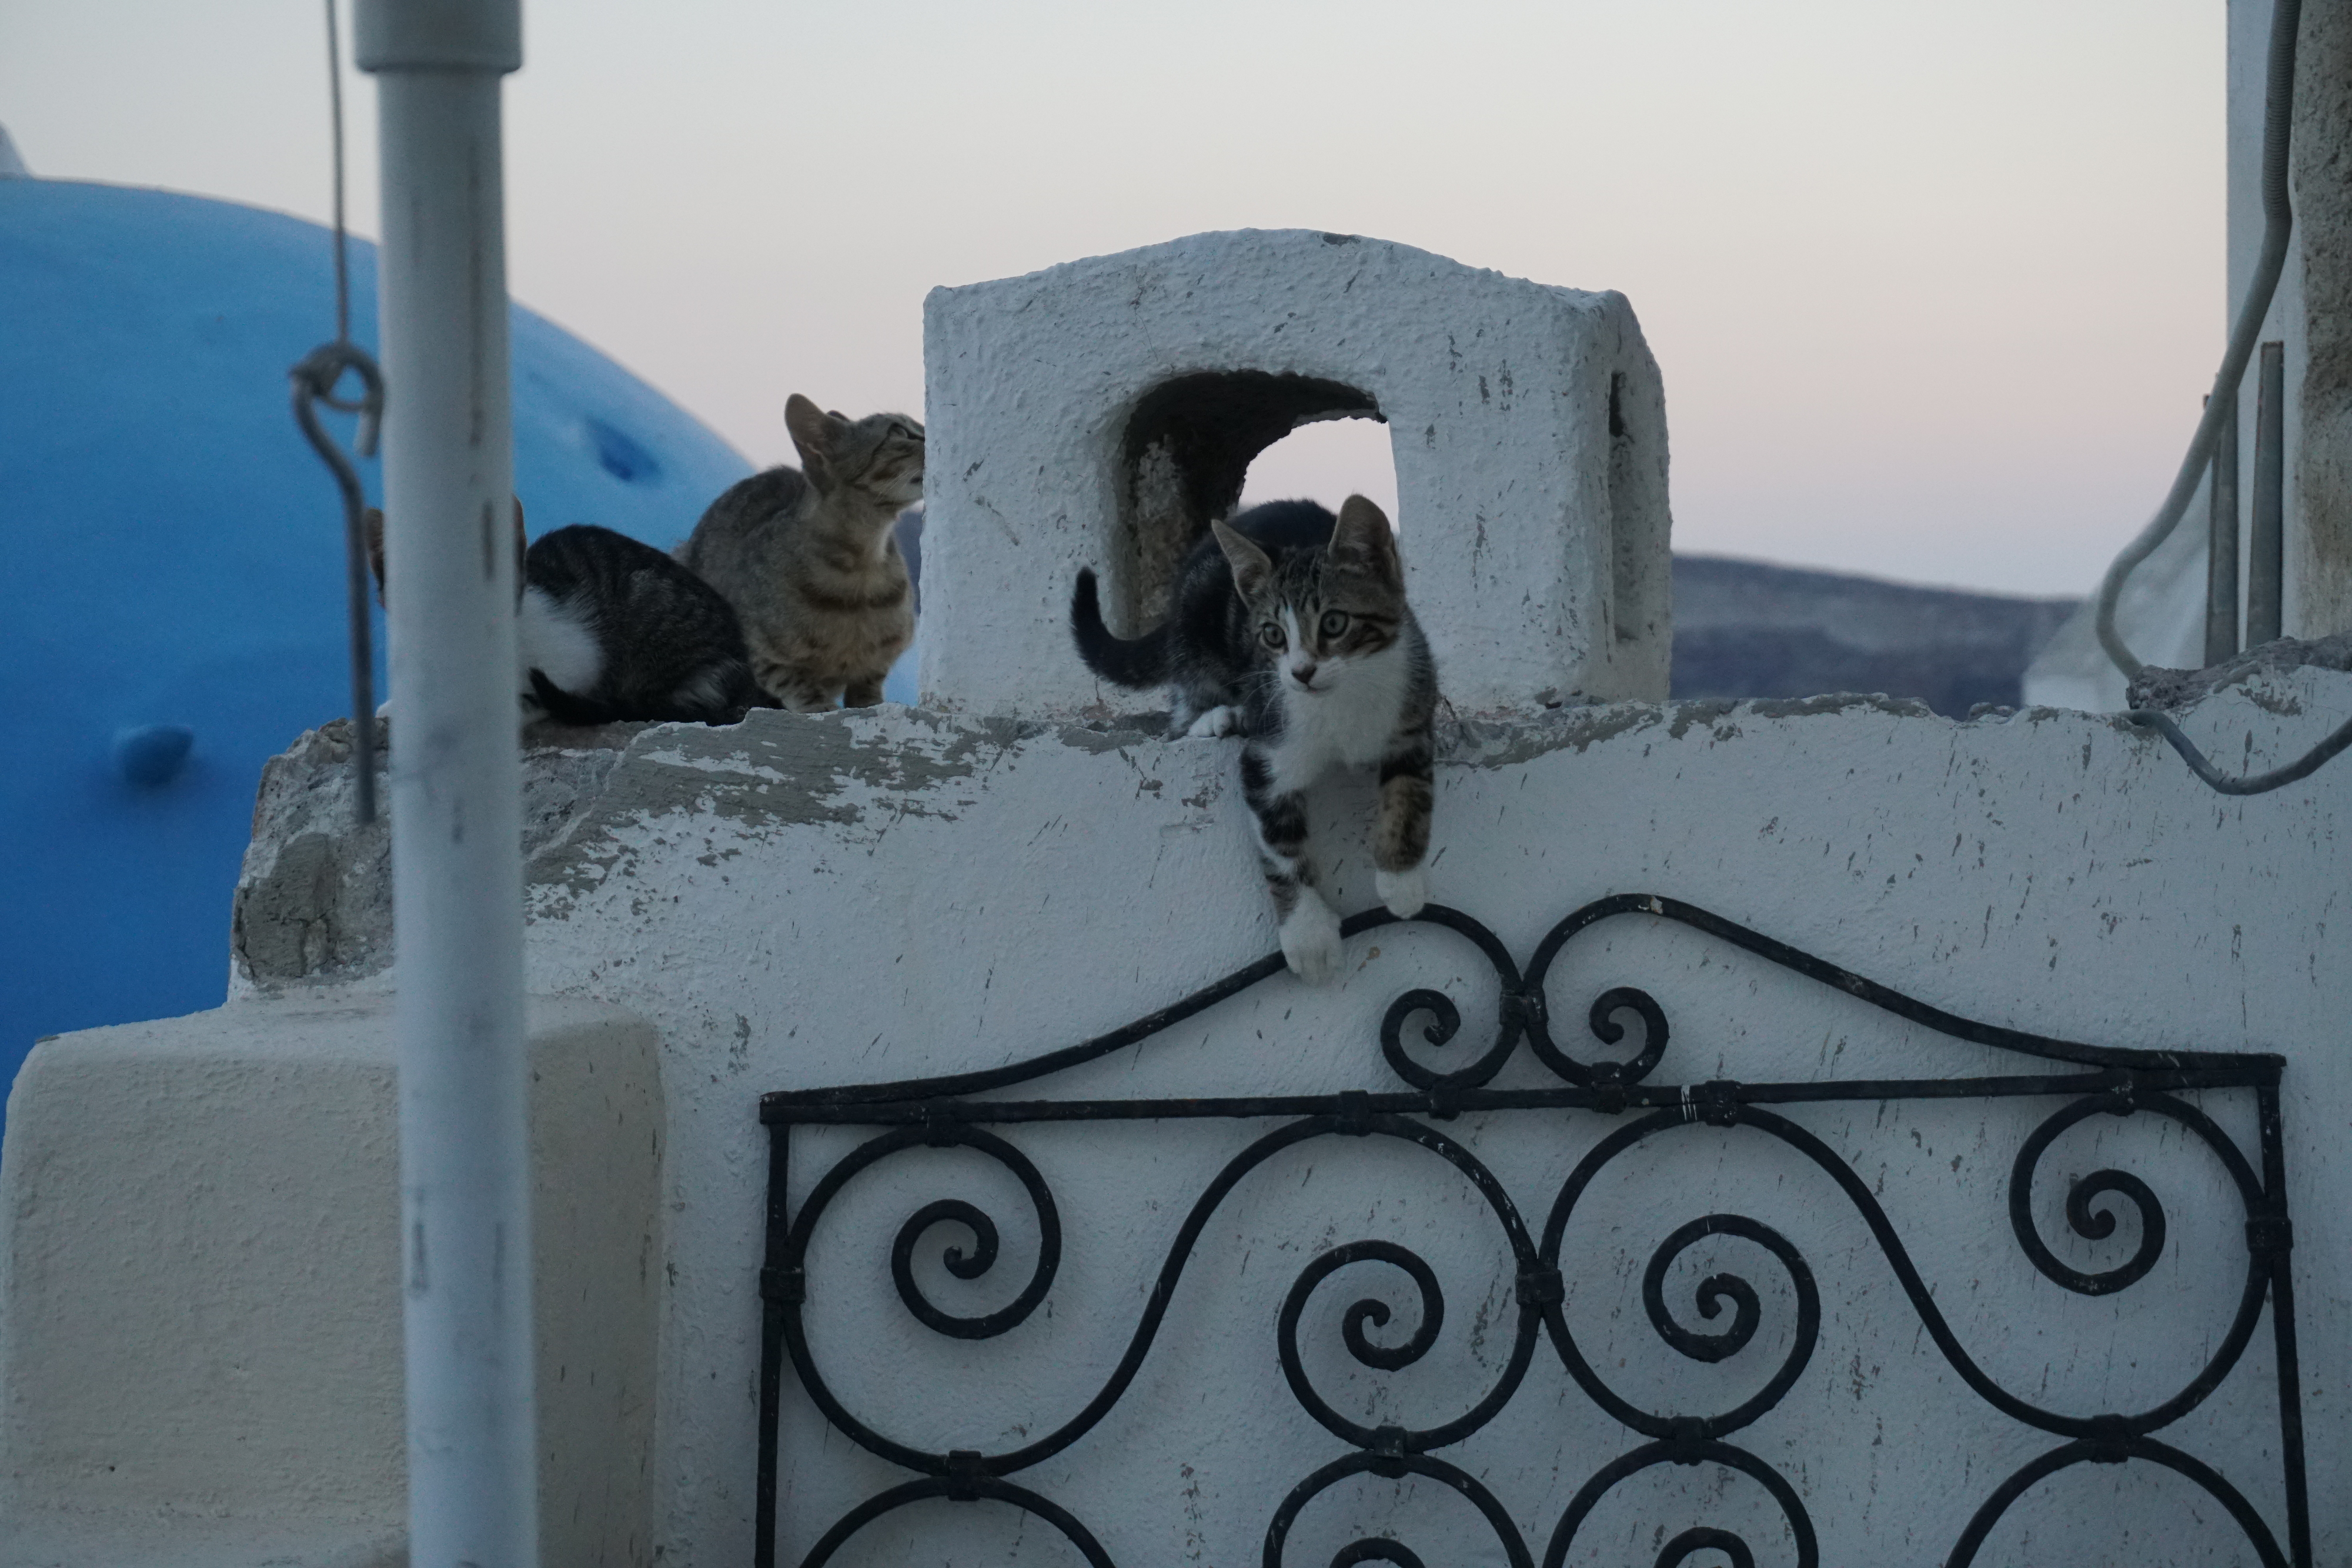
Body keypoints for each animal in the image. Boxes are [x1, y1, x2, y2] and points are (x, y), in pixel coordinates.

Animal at [677, 392, 922, 710]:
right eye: (900, 431)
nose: (931, 435)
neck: (860, 570)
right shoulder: (760, 654)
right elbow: (797, 685)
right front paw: (820, 706)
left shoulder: (882, 658)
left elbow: (868, 685)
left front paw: (869, 704)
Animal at [1068, 496, 1430, 982]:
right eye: (1273, 635)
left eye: (1335, 623)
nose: (1300, 672)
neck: (1345, 699)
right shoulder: (1268, 752)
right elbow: (1279, 847)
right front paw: (1309, 935)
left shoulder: (1413, 712)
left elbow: (1409, 797)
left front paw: (1401, 882)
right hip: (1197, 629)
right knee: (1181, 708)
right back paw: (1216, 716)